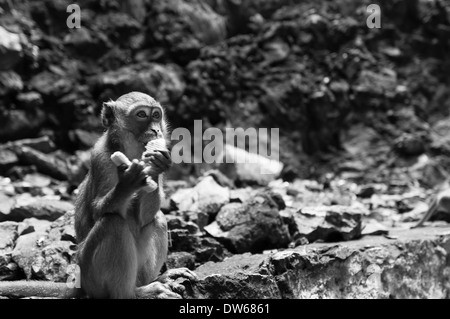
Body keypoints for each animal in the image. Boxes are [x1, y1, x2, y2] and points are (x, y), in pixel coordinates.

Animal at [0, 92, 197, 300]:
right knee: (112, 223)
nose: (155, 129)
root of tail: (80, 283)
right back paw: (136, 293)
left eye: (156, 115)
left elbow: (145, 217)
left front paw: (158, 164)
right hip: (91, 276)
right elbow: (98, 211)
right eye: (142, 114)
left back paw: (157, 279)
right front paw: (128, 182)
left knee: (157, 218)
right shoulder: (101, 157)